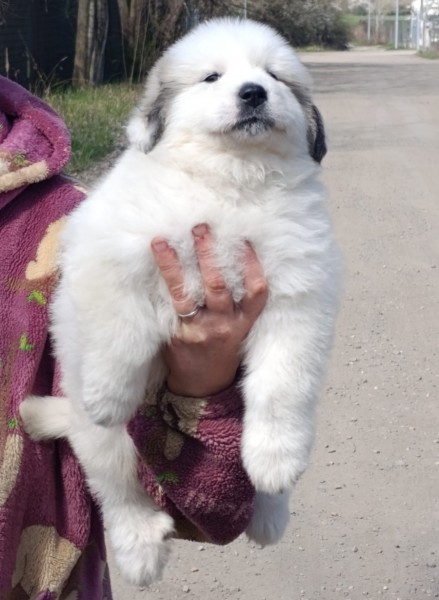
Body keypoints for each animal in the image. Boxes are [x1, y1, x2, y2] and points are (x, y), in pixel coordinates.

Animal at [20, 18, 340, 586]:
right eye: (212, 77)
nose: (253, 93)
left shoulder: (298, 293)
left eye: (274, 76)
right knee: (118, 486)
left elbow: (282, 386)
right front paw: (107, 393)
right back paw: (138, 544)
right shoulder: (112, 252)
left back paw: (270, 509)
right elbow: (118, 328)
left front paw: (275, 460)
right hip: (102, 440)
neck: (231, 179)